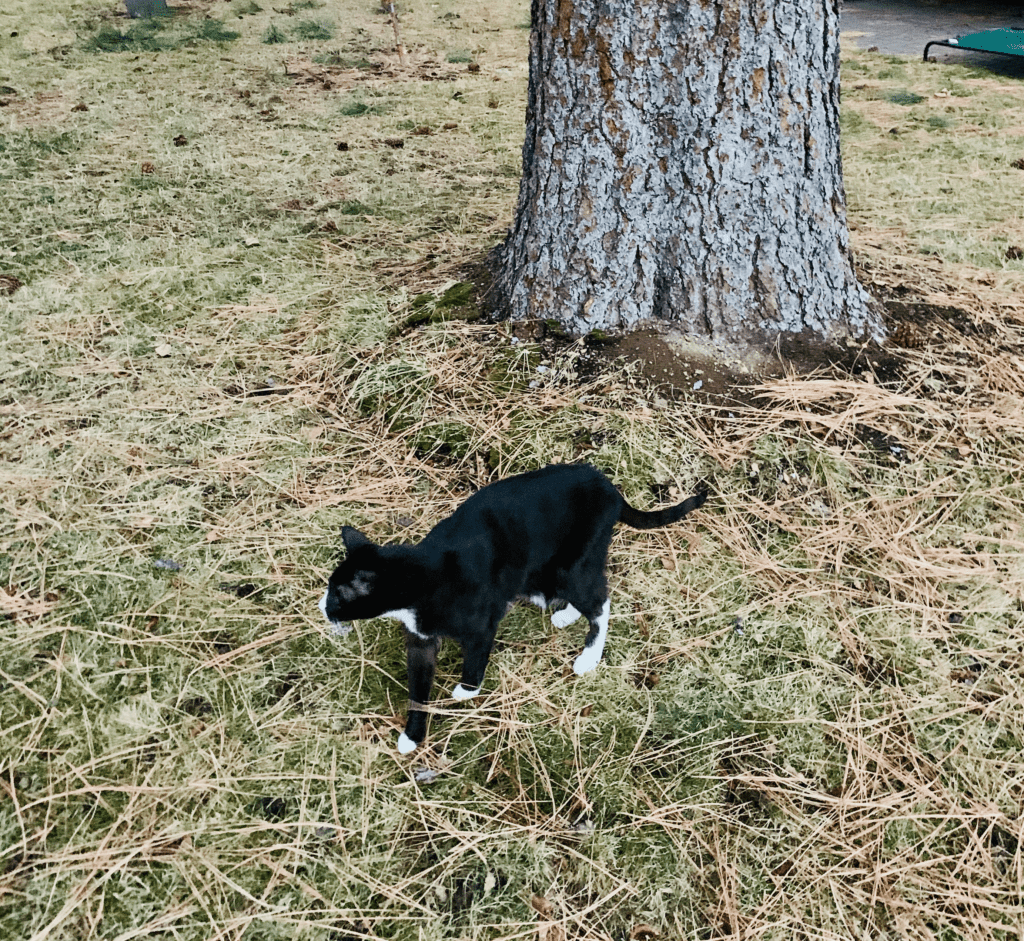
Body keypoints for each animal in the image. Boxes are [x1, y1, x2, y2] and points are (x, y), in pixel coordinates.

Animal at [319, 460, 704, 753]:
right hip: (544, 570)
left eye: (336, 594)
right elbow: (418, 689)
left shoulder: (483, 623)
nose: (321, 606)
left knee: (600, 601)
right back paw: (566, 616)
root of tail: (609, 487)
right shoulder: (420, 641)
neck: (425, 578)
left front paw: (465, 691)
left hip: (570, 565)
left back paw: (589, 657)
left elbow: (475, 659)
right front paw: (412, 736)